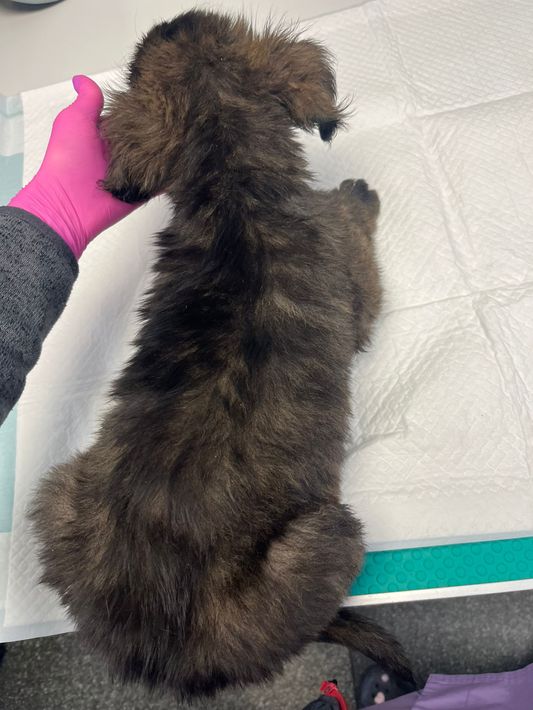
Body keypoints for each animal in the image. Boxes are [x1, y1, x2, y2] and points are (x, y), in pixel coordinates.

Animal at [31, 10, 411, 698]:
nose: (168, 19)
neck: (233, 180)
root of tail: (162, 650)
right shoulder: (361, 295)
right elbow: (359, 230)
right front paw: (357, 194)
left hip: (59, 492)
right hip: (328, 535)